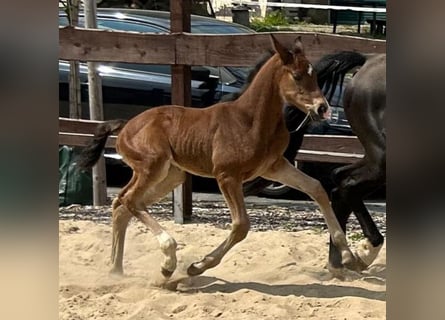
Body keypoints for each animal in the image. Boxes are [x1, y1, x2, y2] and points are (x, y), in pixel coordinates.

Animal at [77, 35, 358, 284]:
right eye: (297, 76)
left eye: (315, 76)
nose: (323, 108)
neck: (250, 120)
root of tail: (125, 126)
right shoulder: (227, 176)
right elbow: (241, 225)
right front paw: (197, 266)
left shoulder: (273, 166)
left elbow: (316, 188)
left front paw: (348, 256)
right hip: (151, 168)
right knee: (129, 200)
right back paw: (167, 262)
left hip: (171, 175)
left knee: (122, 205)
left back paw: (116, 271)